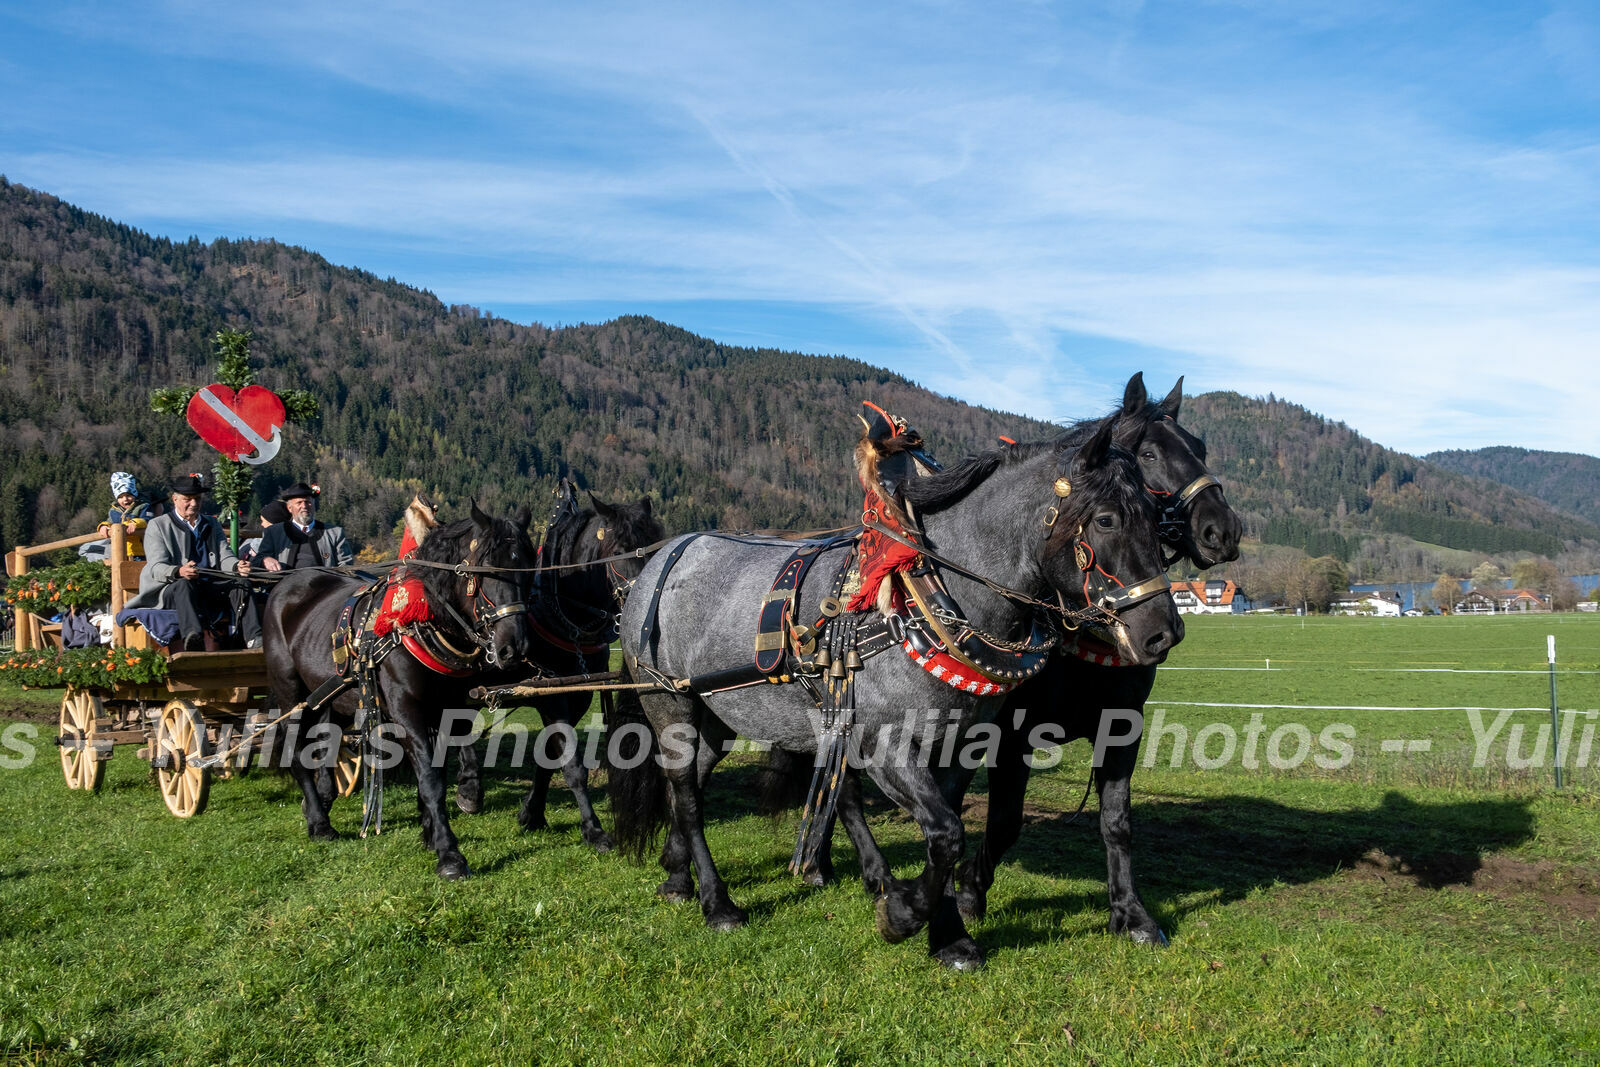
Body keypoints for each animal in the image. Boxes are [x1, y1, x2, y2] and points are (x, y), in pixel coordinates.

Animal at [264, 505, 537, 883]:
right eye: (485, 571)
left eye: (527, 569)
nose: (514, 648)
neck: (425, 621)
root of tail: (285, 586)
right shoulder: (407, 710)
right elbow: (430, 778)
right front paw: (449, 854)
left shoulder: (449, 709)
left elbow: (436, 770)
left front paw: (430, 831)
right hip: (291, 694)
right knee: (295, 750)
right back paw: (319, 824)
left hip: (327, 697)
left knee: (325, 742)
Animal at [604, 422, 1184, 972]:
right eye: (1106, 519)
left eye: (1156, 518)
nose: (1164, 632)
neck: (929, 600)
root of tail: (659, 561)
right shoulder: (884, 744)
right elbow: (946, 833)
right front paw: (904, 913)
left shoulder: (961, 747)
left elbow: (946, 834)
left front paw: (949, 936)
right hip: (670, 706)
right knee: (686, 793)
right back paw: (717, 901)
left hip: (719, 714)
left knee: (692, 784)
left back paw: (678, 877)